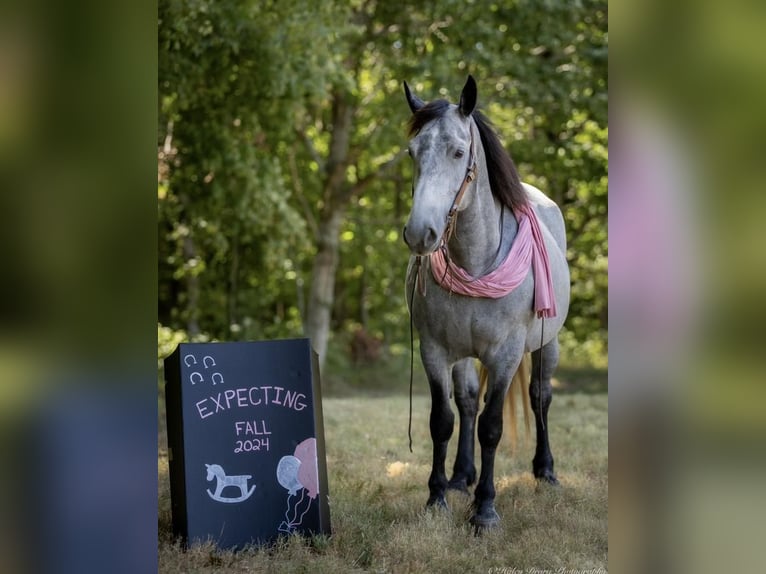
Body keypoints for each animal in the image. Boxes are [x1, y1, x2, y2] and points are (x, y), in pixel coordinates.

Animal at [404, 75, 572, 532]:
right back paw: (462, 476)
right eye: (412, 152)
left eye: (458, 152)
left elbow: (492, 427)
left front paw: (485, 510)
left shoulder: (505, 355)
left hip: (547, 344)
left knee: (540, 397)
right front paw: (437, 498)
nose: (419, 233)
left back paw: (545, 470)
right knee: (466, 403)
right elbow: (442, 421)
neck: (477, 261)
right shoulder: (436, 351)